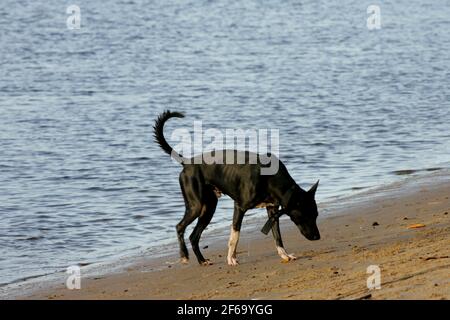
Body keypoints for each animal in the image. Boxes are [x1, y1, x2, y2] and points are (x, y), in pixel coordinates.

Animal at [154, 110, 320, 264]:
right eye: (306, 215)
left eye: (316, 215)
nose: (318, 237)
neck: (271, 178)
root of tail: (188, 162)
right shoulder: (239, 207)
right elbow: (235, 235)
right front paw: (231, 258)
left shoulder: (272, 209)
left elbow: (277, 235)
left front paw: (284, 255)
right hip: (196, 206)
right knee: (179, 227)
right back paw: (184, 255)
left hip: (209, 208)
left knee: (193, 236)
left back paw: (202, 261)